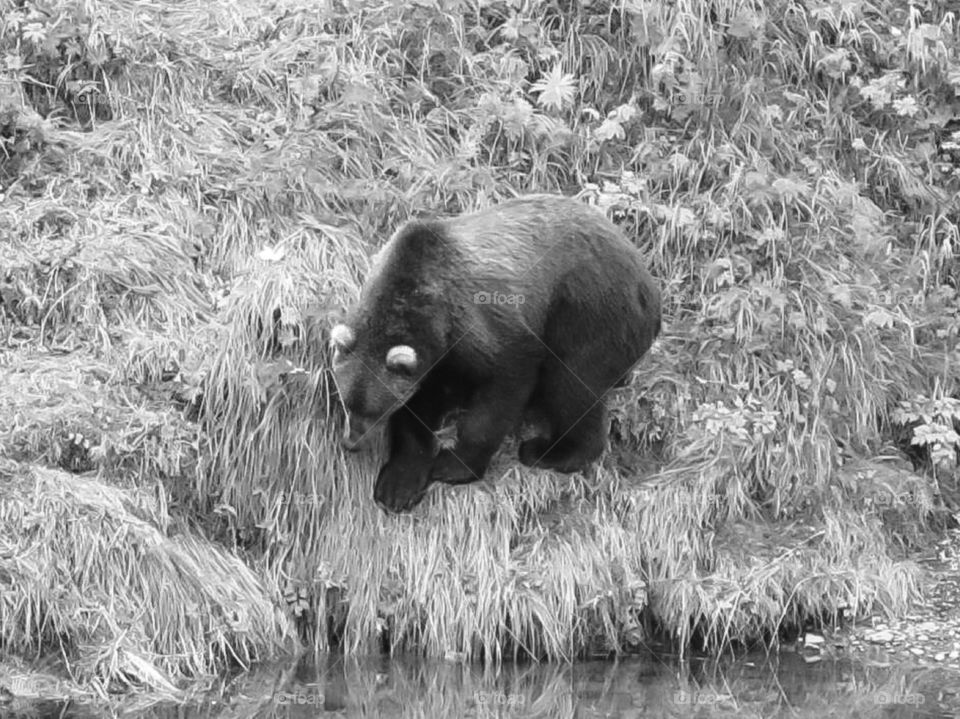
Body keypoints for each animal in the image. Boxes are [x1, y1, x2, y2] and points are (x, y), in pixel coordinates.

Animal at [329, 194, 661, 512]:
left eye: (376, 410)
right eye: (346, 402)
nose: (351, 442)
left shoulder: (486, 326)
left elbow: (501, 391)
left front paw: (452, 465)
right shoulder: (435, 362)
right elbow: (421, 408)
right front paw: (398, 485)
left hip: (591, 311)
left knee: (572, 383)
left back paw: (549, 451)